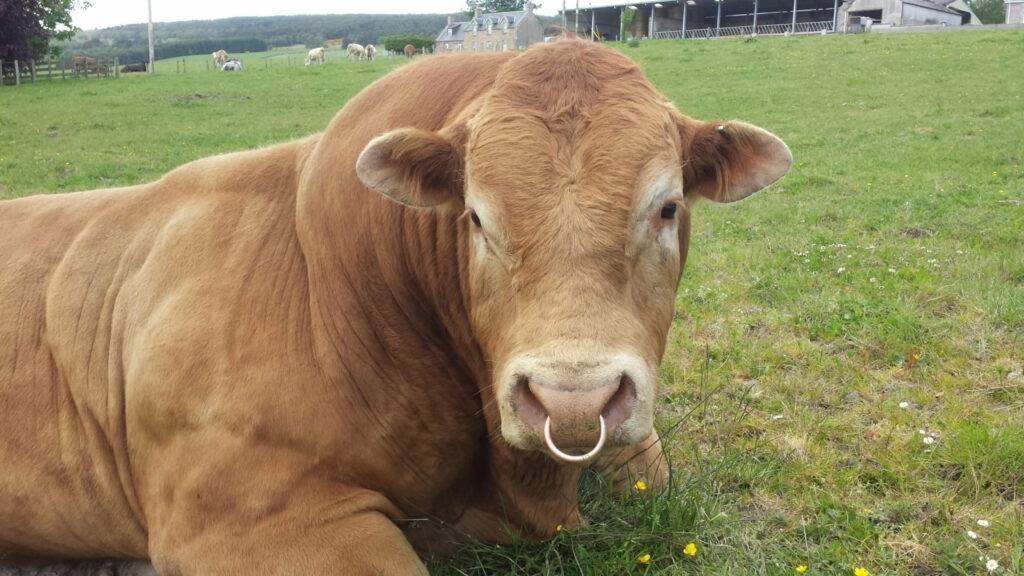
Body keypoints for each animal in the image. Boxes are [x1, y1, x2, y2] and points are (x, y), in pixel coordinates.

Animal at [0, 40, 790, 574]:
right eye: (475, 217)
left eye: (667, 207)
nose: (573, 402)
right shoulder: (250, 517)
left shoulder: (634, 441)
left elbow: (648, 467)